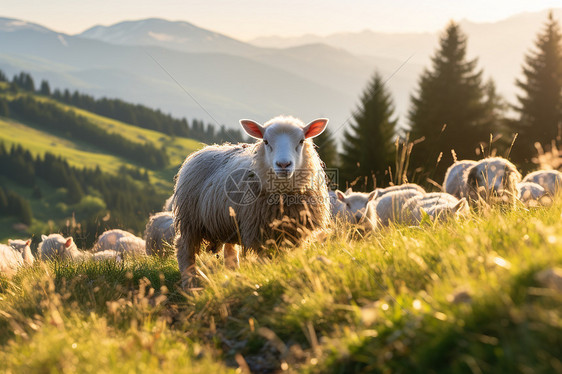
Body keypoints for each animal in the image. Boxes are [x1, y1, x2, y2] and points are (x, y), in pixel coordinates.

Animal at [171, 115, 328, 288]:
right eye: (266, 141)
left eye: (301, 141)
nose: (283, 165)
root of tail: (204, 150)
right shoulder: (260, 234)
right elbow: (266, 260)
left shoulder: (295, 234)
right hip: (190, 220)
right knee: (184, 249)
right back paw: (190, 283)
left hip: (227, 222)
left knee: (230, 252)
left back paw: (231, 275)